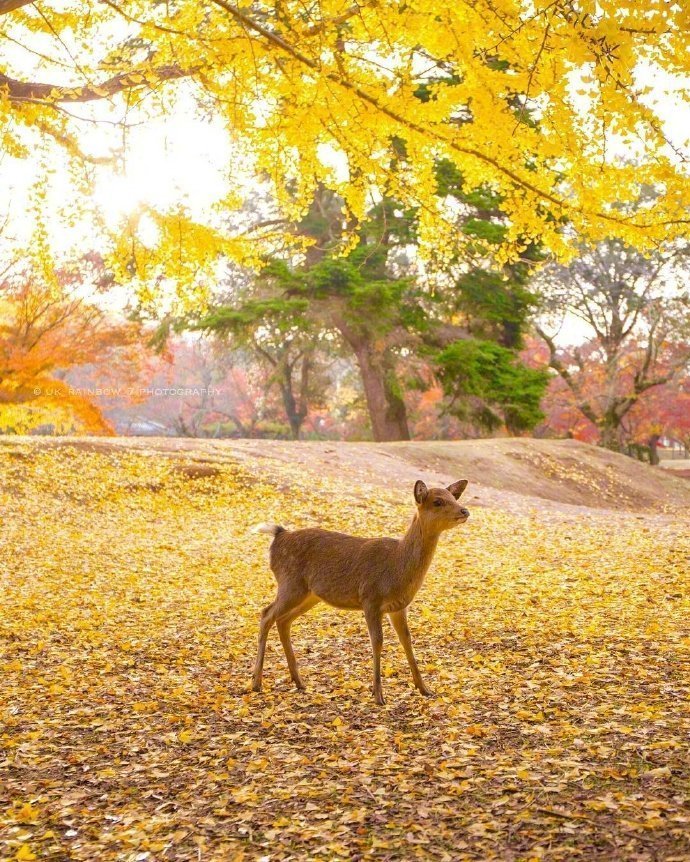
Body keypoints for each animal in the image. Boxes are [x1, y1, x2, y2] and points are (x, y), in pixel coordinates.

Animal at [247, 480, 468, 708]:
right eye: (437, 501)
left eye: (454, 498)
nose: (465, 511)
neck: (397, 567)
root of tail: (278, 536)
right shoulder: (370, 598)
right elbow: (377, 641)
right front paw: (378, 695)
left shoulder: (398, 607)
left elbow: (407, 641)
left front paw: (425, 689)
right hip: (290, 584)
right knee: (266, 614)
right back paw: (256, 683)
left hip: (310, 595)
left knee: (283, 620)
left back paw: (299, 681)